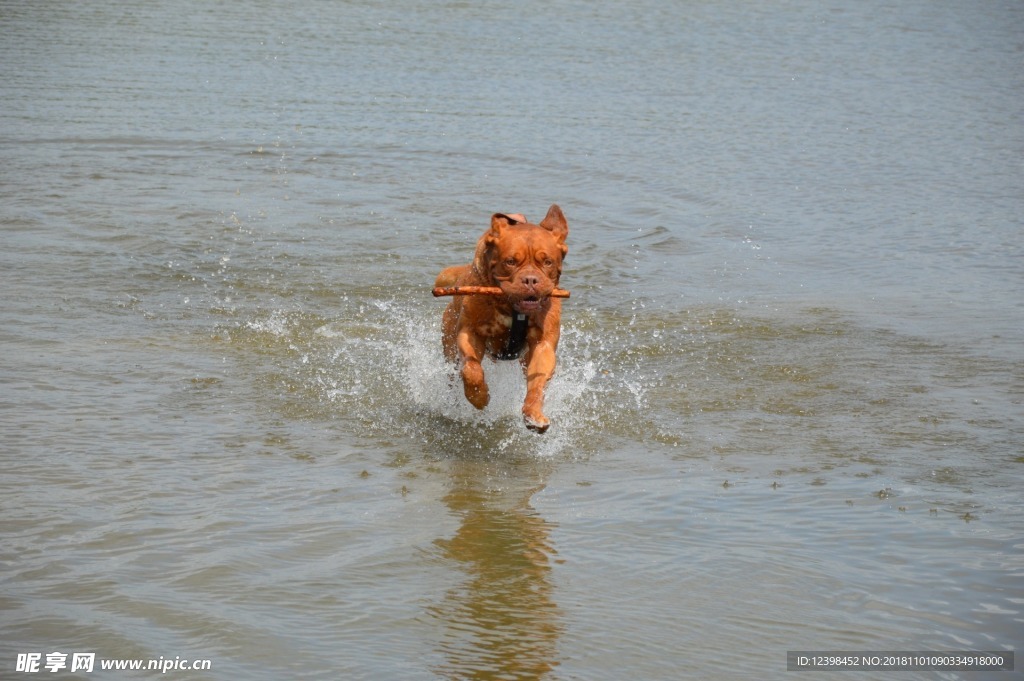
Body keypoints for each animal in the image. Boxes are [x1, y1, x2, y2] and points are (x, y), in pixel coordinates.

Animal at [436, 204, 573, 432]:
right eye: (510, 262)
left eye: (547, 262)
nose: (530, 280)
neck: (513, 310)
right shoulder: (470, 332)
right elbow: (471, 370)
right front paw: (479, 397)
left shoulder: (543, 344)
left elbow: (538, 384)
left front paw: (534, 414)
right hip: (449, 344)